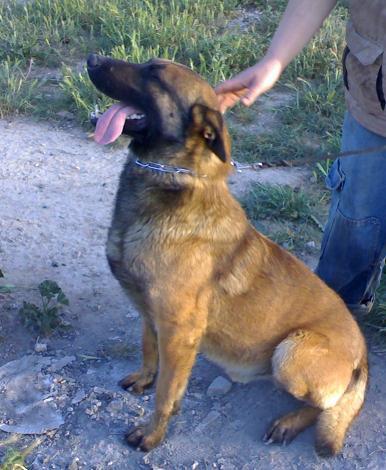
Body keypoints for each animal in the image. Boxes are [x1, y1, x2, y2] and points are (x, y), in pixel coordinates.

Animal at [87, 54, 368, 456]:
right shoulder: (149, 313)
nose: (91, 59)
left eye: (154, 73)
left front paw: (152, 434)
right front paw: (144, 377)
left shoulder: (178, 331)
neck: (173, 179)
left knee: (324, 405)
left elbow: (166, 394)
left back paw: (288, 422)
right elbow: (147, 349)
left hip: (289, 353)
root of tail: (363, 353)